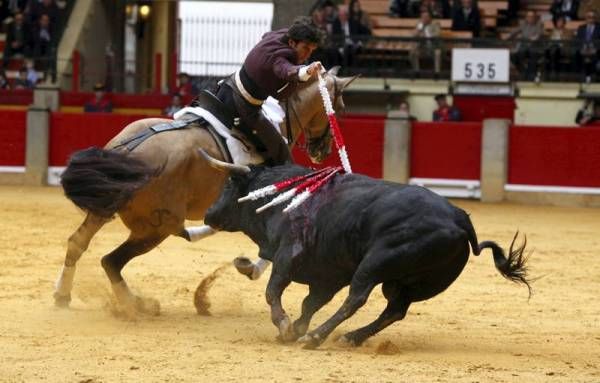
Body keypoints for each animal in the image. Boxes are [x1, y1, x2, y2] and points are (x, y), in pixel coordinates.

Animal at [54, 69, 354, 318]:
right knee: (111, 261)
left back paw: (63, 295)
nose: (321, 151)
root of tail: (130, 151)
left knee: (78, 242)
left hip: (106, 206)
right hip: (155, 227)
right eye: (339, 109)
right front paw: (250, 268)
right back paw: (137, 305)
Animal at [204, 164, 532, 350]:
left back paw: (317, 338)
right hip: (411, 283)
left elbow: (273, 292)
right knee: (394, 310)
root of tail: (461, 220)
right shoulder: (328, 275)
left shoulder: (288, 255)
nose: (208, 214)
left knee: (357, 299)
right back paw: (351, 338)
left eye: (229, 184)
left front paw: (287, 327)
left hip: (376, 263)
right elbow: (310, 302)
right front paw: (295, 328)